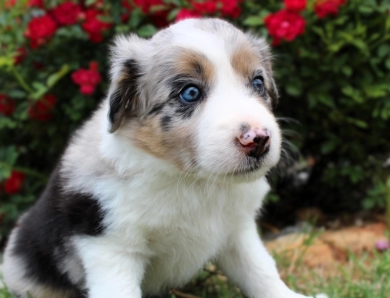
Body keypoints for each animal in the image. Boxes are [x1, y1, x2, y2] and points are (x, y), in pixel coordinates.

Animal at [2, 18, 308, 298]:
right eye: (190, 93)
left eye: (257, 83)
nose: (258, 139)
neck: (194, 182)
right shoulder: (111, 246)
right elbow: (120, 290)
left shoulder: (238, 230)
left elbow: (261, 271)